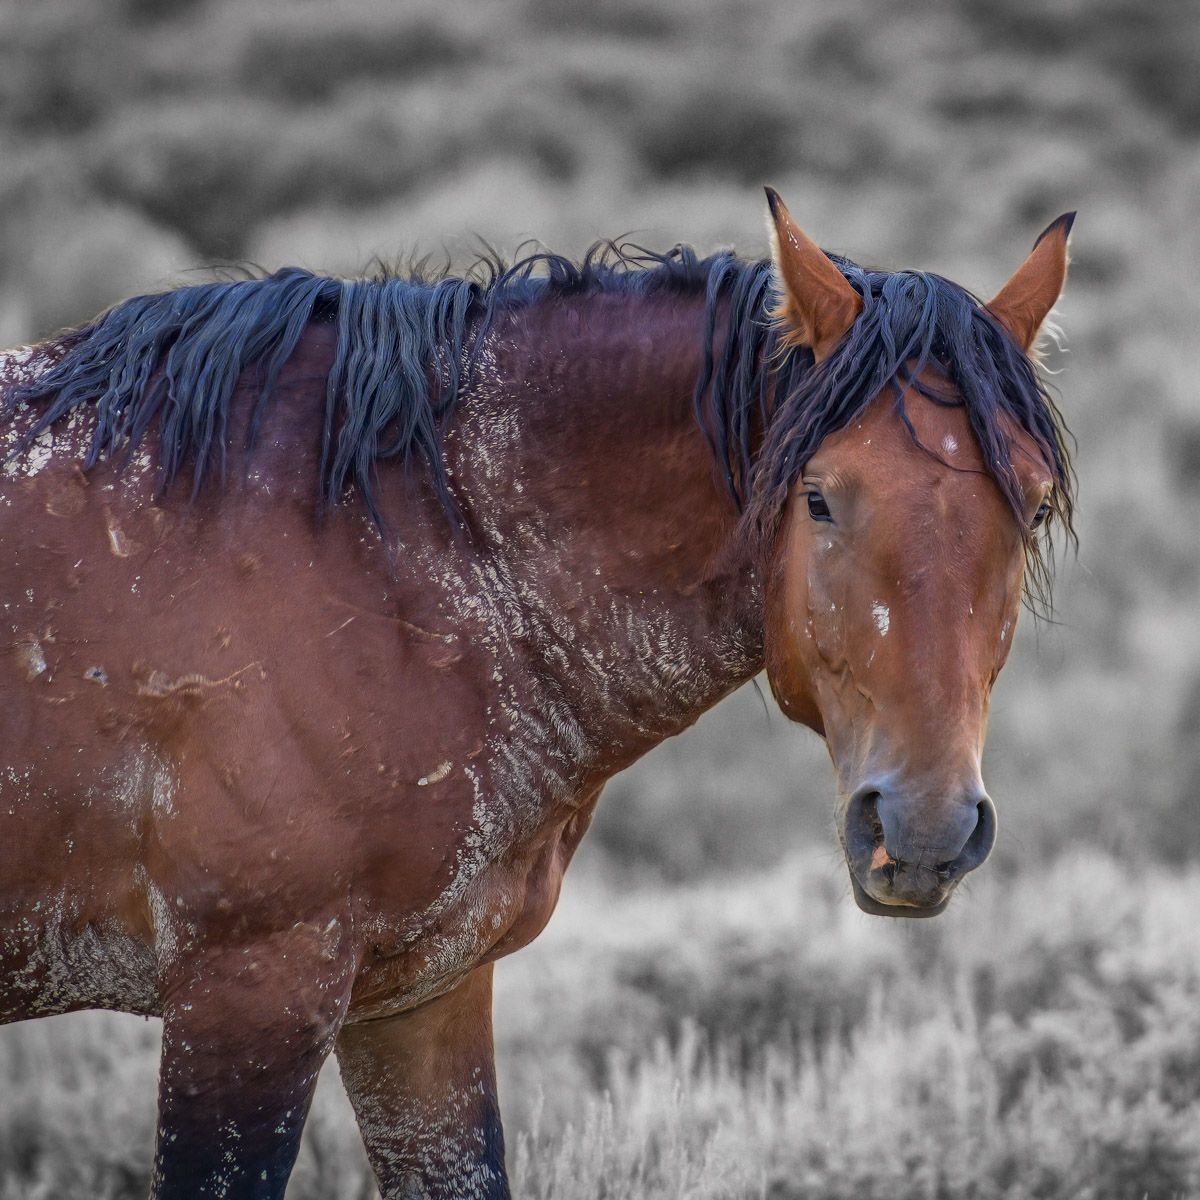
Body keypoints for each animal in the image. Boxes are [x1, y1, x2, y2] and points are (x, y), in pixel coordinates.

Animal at [0, 188, 1074, 1198]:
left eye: (1032, 506)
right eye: (818, 496)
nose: (925, 829)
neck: (390, 551)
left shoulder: (421, 995)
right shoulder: (250, 988)